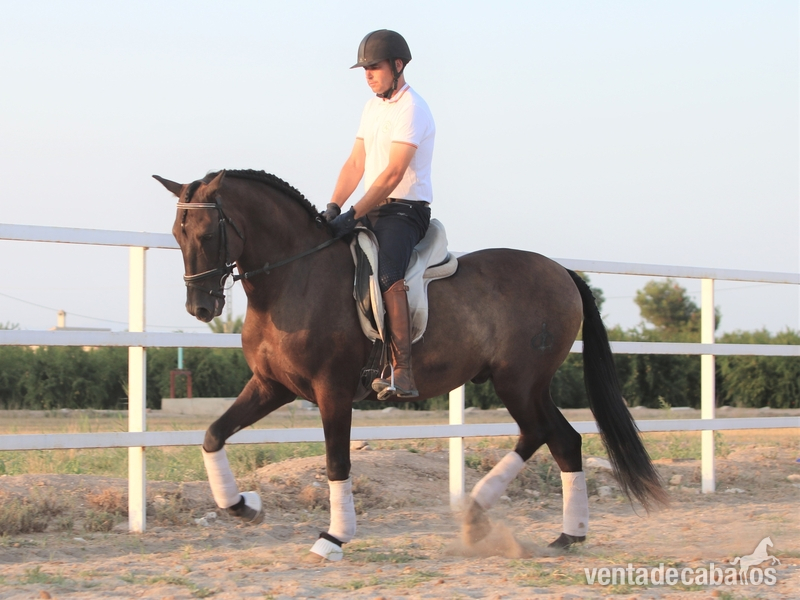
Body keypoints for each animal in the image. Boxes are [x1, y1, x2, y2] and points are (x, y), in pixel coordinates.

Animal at [154, 169, 668, 561]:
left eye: (206, 234)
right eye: (178, 235)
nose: (200, 308)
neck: (293, 278)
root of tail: (560, 270)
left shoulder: (331, 391)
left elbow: (336, 462)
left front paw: (333, 538)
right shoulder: (271, 385)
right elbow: (213, 434)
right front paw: (243, 506)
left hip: (519, 381)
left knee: (544, 433)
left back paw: (494, 516)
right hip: (527, 384)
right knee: (560, 439)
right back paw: (561, 532)